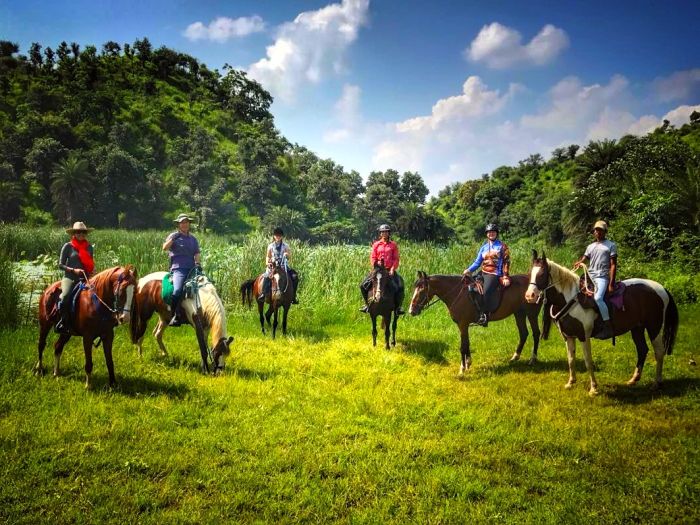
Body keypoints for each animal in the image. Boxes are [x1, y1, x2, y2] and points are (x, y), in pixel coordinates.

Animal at [408, 270, 544, 372]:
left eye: (422, 289)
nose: (411, 311)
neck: (457, 293)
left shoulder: (463, 324)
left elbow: (463, 346)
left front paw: (462, 369)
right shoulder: (464, 325)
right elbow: (467, 343)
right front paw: (468, 363)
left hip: (531, 314)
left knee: (536, 333)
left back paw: (532, 359)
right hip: (519, 313)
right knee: (523, 333)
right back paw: (515, 357)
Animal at [524, 251, 680, 392]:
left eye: (542, 274)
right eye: (530, 273)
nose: (529, 296)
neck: (570, 299)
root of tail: (662, 288)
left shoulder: (583, 336)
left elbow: (588, 361)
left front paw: (593, 388)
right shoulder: (568, 336)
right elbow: (571, 359)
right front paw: (571, 383)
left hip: (654, 327)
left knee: (659, 352)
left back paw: (657, 383)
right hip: (637, 328)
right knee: (642, 349)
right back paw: (633, 379)